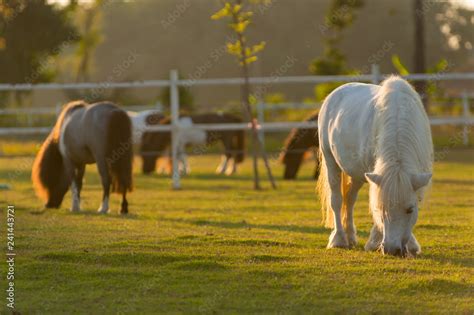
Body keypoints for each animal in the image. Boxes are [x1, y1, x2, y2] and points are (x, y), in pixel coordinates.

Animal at [318, 76, 434, 256]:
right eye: (382, 208)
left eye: (410, 209)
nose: (392, 249)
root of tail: (334, 94)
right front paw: (374, 242)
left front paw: (412, 245)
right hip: (330, 160)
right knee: (336, 200)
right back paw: (339, 239)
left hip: (357, 173)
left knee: (349, 199)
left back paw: (350, 236)